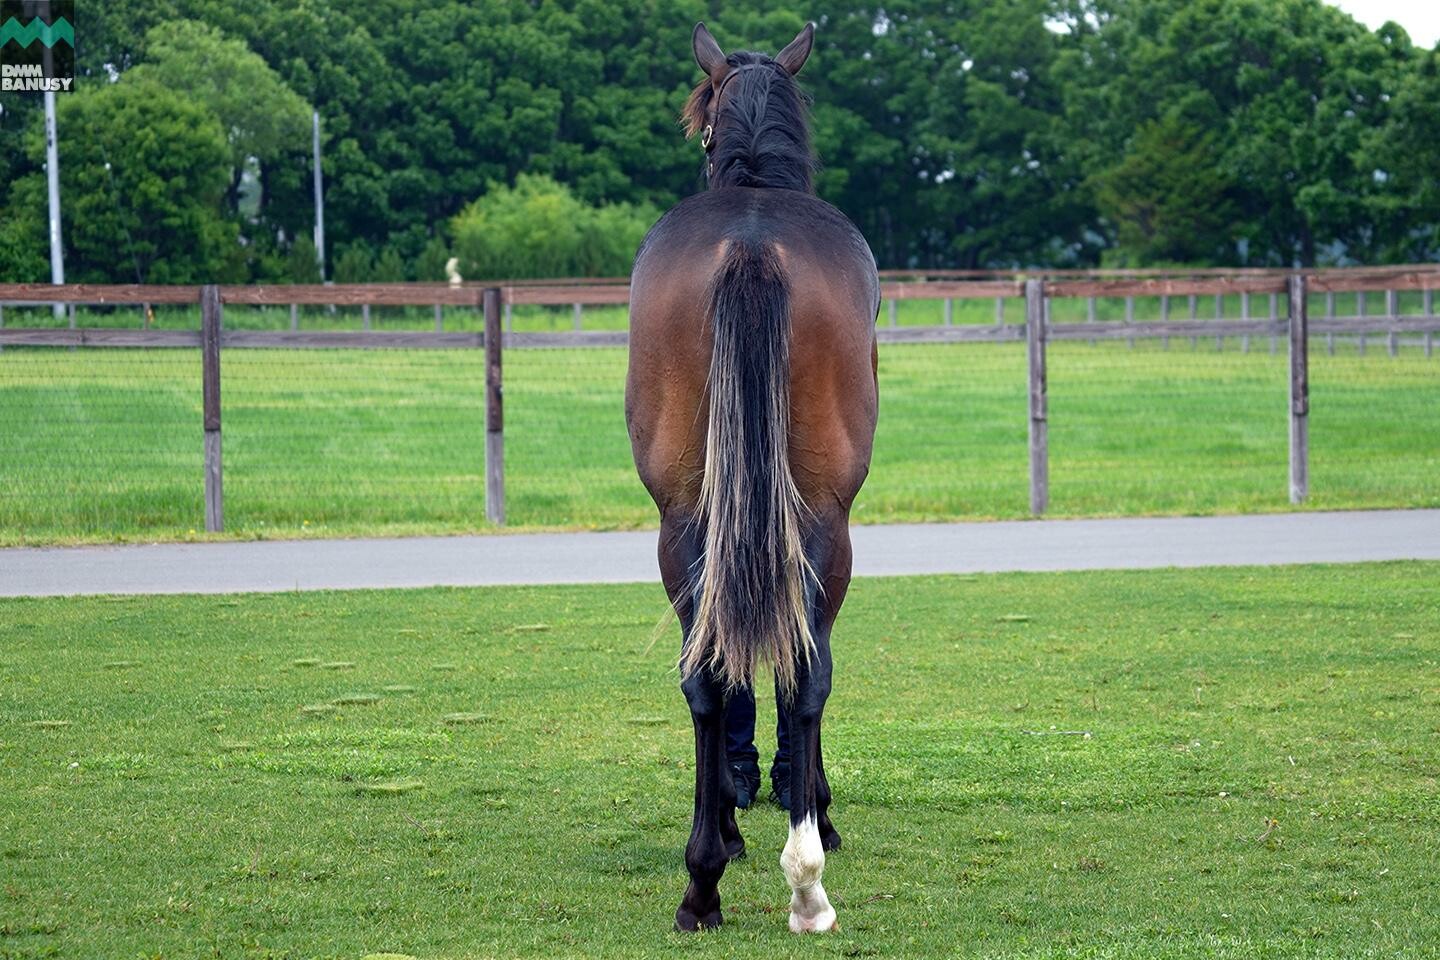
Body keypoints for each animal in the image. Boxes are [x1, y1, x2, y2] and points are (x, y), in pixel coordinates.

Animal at [627, 22, 881, 932]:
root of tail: (750, 243)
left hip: (686, 519)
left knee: (711, 671)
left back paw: (709, 879)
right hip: (822, 523)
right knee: (803, 666)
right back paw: (796, 871)